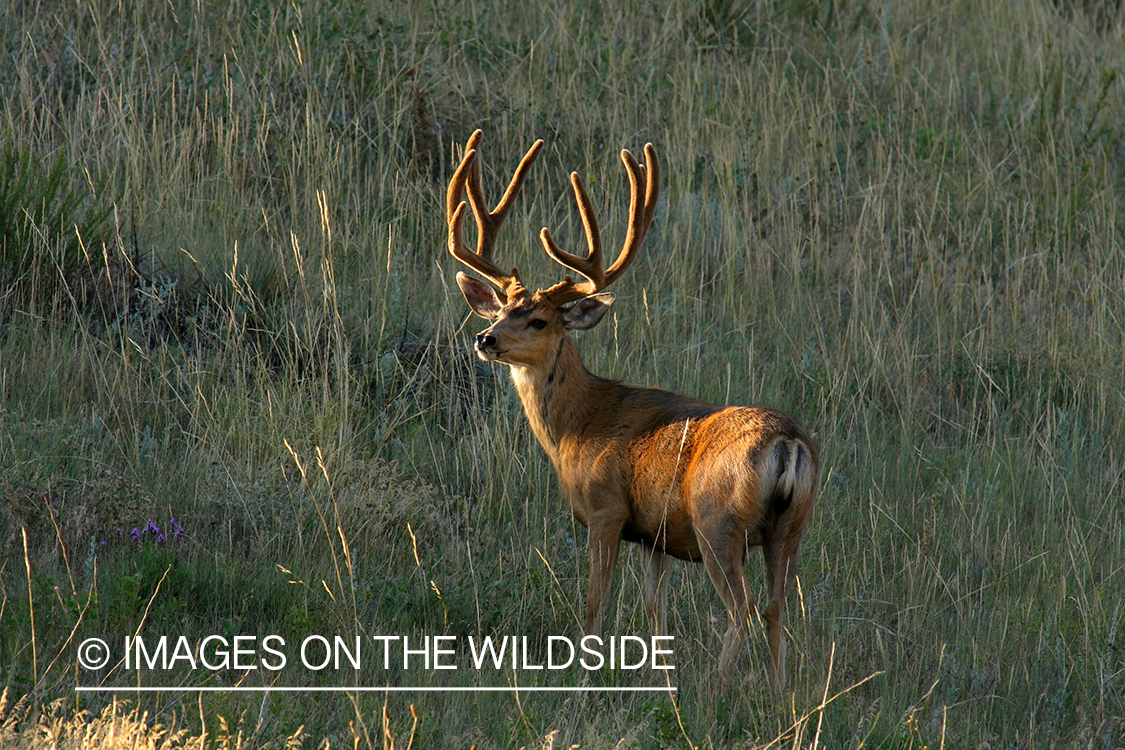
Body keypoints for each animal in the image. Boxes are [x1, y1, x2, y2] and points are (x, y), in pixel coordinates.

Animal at [443, 130, 823, 692]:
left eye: (538, 320)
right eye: (502, 309)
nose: (484, 338)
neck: (576, 426)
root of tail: (790, 442)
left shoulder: (606, 509)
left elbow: (594, 602)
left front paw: (582, 680)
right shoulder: (654, 535)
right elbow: (653, 609)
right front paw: (661, 680)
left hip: (717, 519)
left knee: (743, 607)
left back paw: (716, 692)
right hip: (792, 524)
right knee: (777, 607)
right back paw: (778, 696)